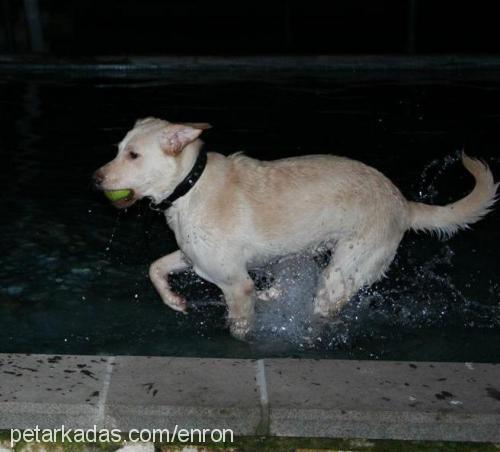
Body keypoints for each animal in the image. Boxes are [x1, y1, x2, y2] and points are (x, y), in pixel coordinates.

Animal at [93, 116, 496, 340]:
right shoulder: (196, 258)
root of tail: (402, 203)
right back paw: (274, 296)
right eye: (118, 149)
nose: (95, 178)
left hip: (340, 275)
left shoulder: (234, 283)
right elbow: (154, 269)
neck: (190, 185)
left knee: (322, 312)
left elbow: (239, 328)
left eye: (133, 155)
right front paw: (174, 300)